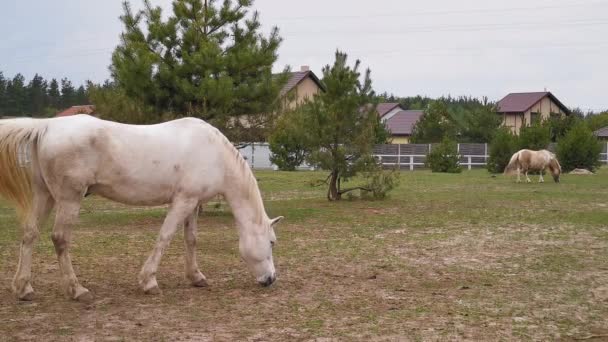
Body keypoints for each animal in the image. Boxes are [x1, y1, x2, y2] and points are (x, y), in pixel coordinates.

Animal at [0, 115, 284, 302]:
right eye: (271, 242)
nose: (271, 279)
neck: (214, 154)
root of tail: (46, 125)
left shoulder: (193, 203)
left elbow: (191, 239)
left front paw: (196, 277)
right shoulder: (182, 201)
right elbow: (165, 237)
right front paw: (149, 282)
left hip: (44, 195)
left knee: (30, 234)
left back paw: (24, 288)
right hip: (69, 199)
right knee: (59, 238)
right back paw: (77, 290)